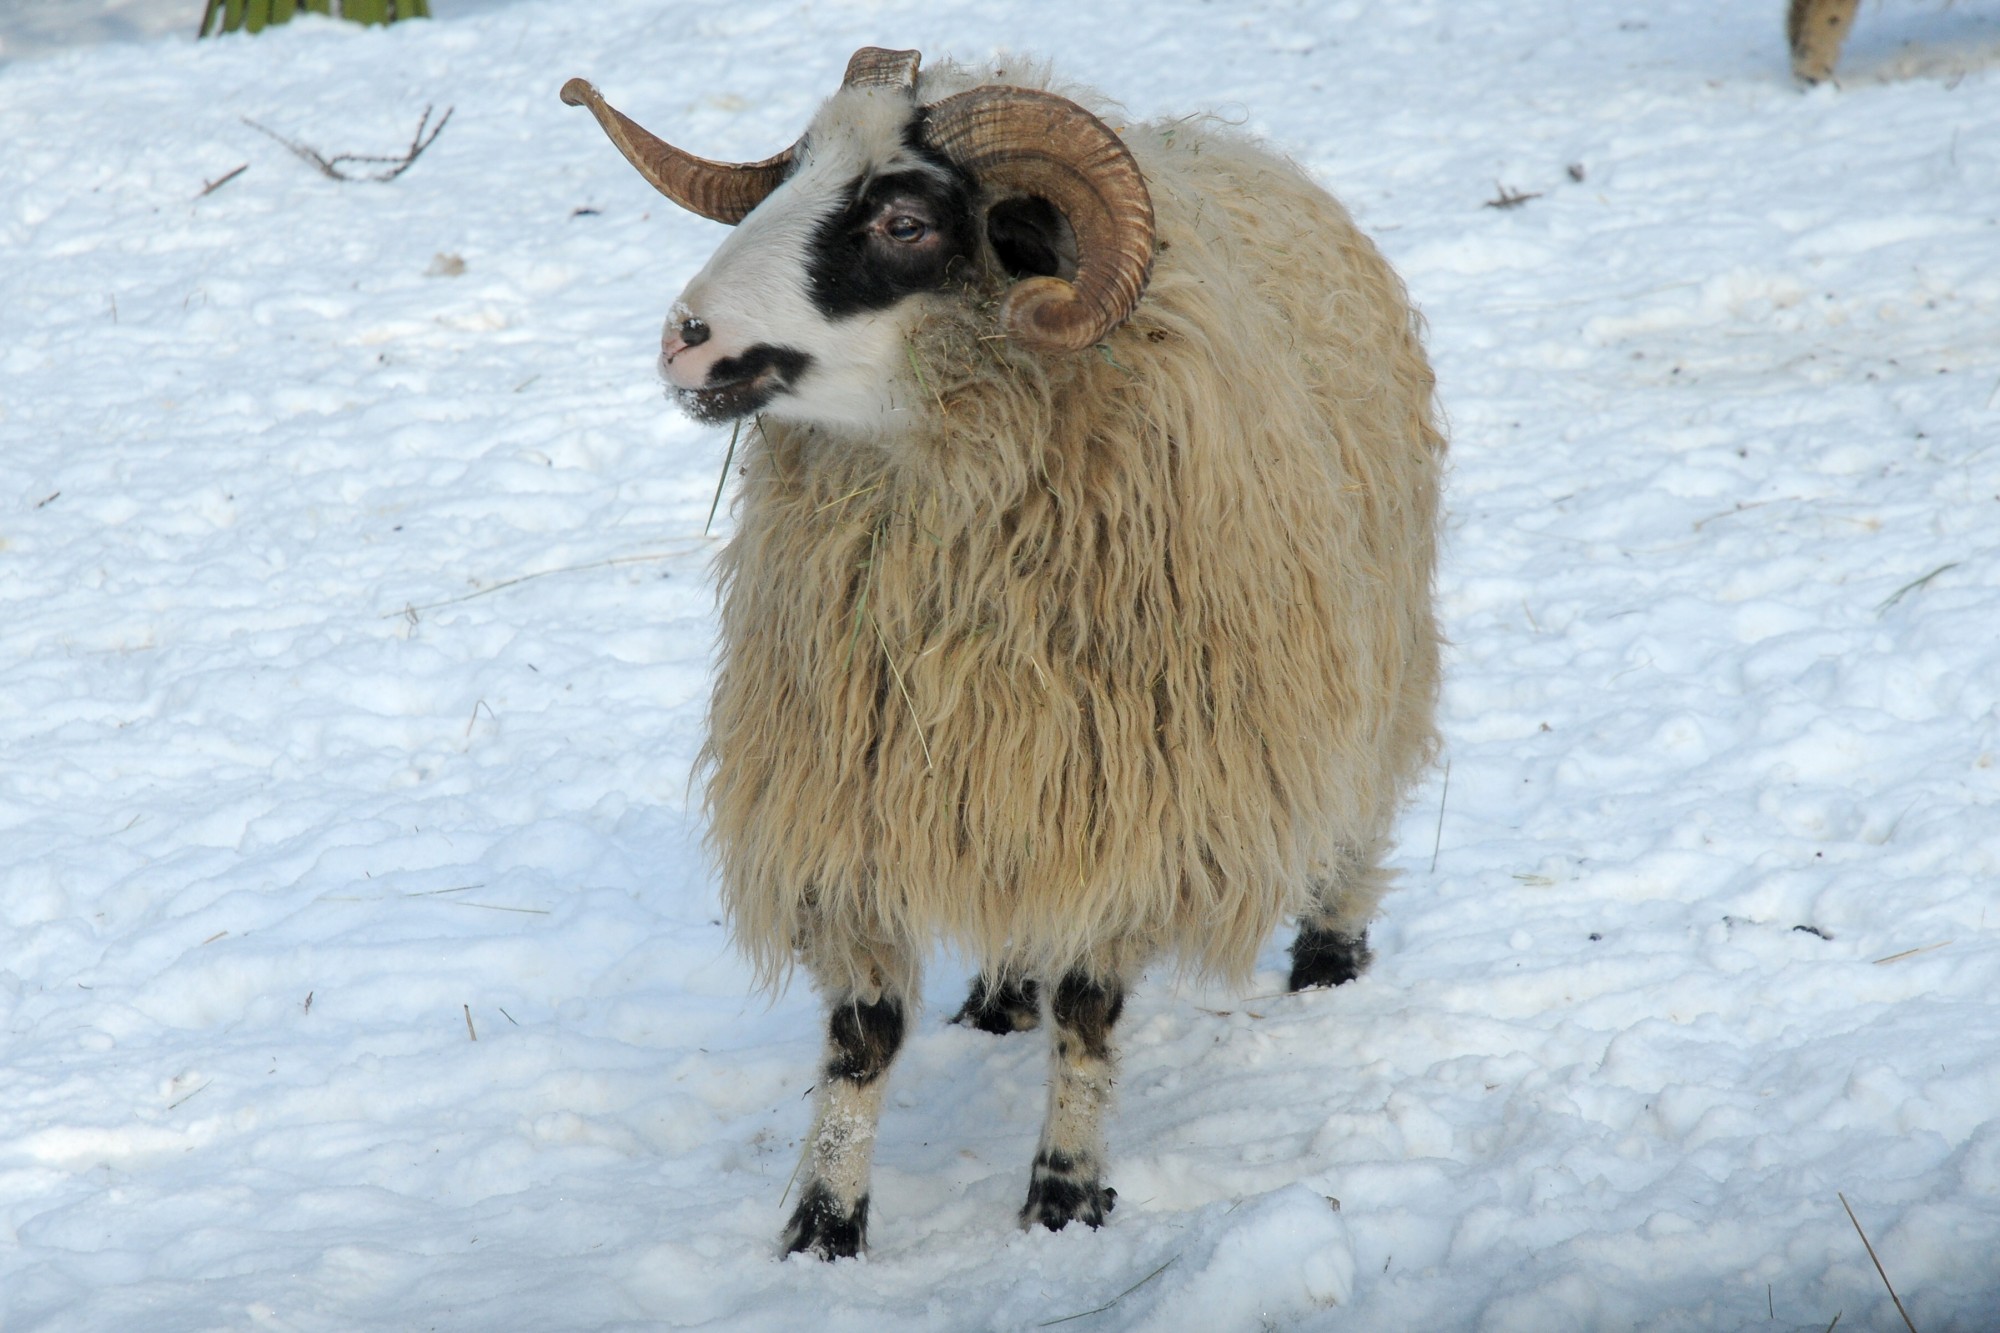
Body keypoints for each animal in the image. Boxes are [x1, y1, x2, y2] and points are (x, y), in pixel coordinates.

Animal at [561, 47, 1445, 1259]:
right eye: (787, 177)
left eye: (904, 222)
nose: (685, 336)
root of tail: (1241, 148)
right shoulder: (860, 789)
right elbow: (861, 1031)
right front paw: (824, 1224)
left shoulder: (1132, 795)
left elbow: (1088, 1010)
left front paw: (1064, 1197)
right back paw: (998, 992)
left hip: (1372, 627)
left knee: (1367, 785)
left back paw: (1328, 952)